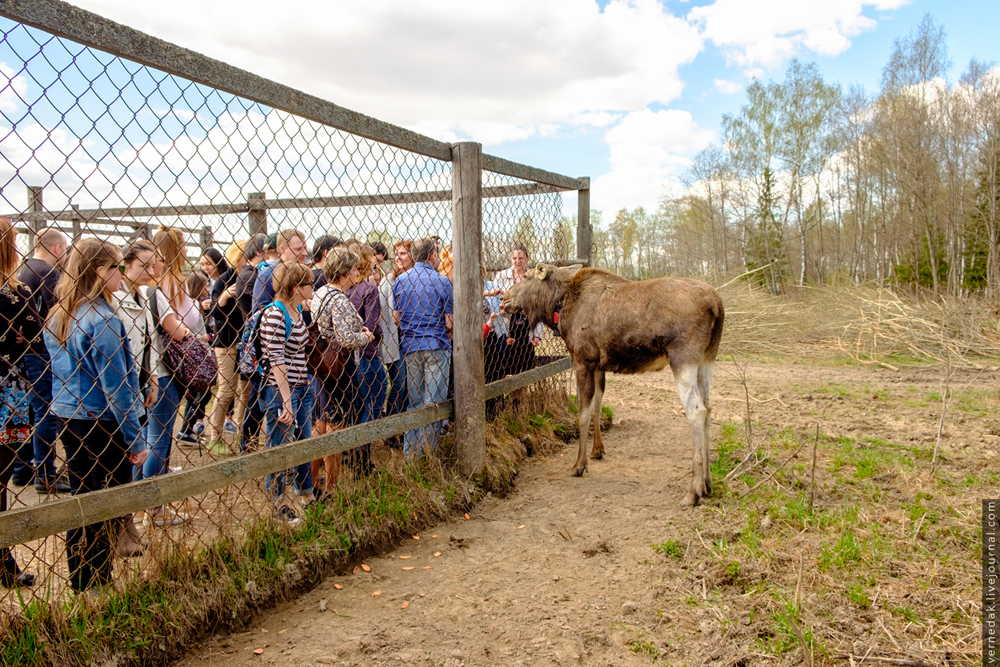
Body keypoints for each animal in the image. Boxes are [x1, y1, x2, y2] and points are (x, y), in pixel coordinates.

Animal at [504, 266, 724, 506]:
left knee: (697, 411)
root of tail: (716, 305)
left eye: (526, 276)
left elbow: (582, 414)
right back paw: (708, 483)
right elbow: (597, 407)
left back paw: (693, 491)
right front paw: (597, 451)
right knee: (709, 408)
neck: (558, 307)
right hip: (707, 359)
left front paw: (578, 465)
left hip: (682, 357)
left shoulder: (583, 360)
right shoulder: (599, 366)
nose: (504, 298)